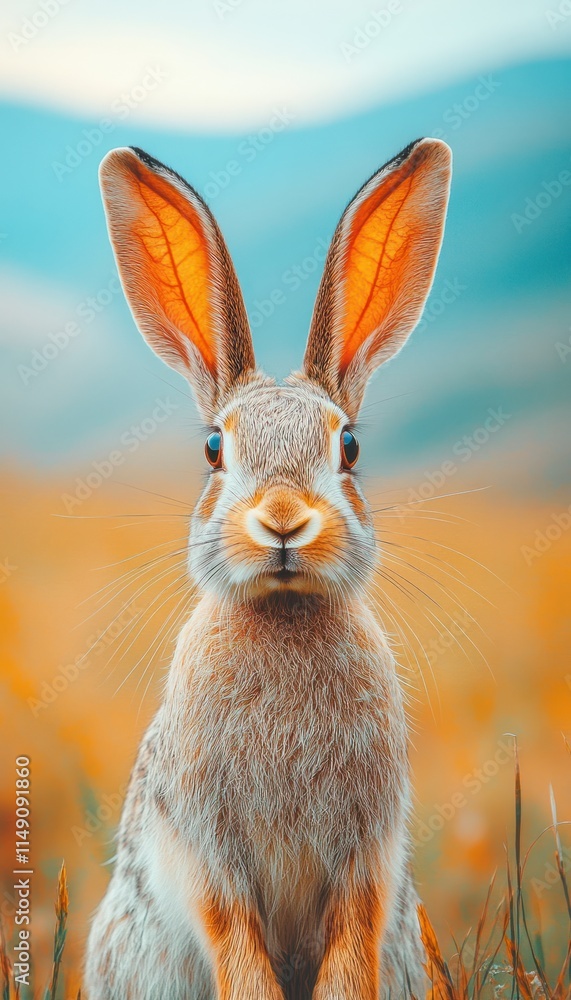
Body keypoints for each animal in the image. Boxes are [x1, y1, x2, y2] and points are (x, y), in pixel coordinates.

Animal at [84, 137, 452, 1000]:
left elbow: (351, 941)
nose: (283, 520)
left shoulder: (366, 852)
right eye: (213, 448)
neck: (283, 614)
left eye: (347, 446)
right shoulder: (205, 851)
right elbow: (234, 936)